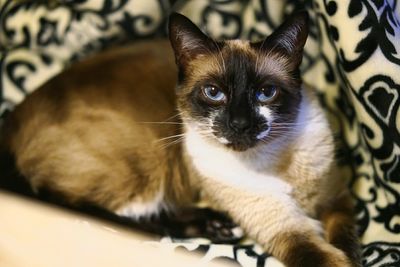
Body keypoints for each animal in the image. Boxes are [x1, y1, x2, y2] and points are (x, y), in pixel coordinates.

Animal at [0, 11, 360, 266]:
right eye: (213, 93)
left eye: (265, 92)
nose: (240, 124)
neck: (274, 163)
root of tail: (12, 118)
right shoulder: (280, 225)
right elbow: (315, 254)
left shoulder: (335, 200)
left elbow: (344, 239)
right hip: (147, 158)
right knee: (66, 203)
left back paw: (212, 227)